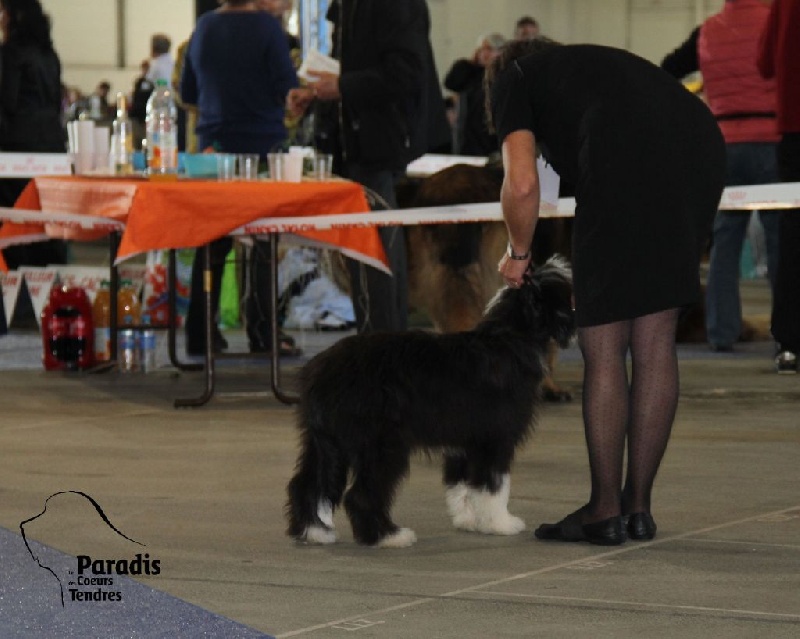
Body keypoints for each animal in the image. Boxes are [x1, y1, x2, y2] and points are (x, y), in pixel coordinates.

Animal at [285, 256, 575, 548]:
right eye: (566, 298)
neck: (510, 339)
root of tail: (320, 370)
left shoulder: (464, 442)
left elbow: (462, 484)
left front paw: (468, 519)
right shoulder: (495, 438)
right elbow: (494, 485)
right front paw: (500, 523)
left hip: (325, 442)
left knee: (306, 485)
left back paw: (315, 531)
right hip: (381, 445)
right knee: (360, 495)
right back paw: (389, 536)